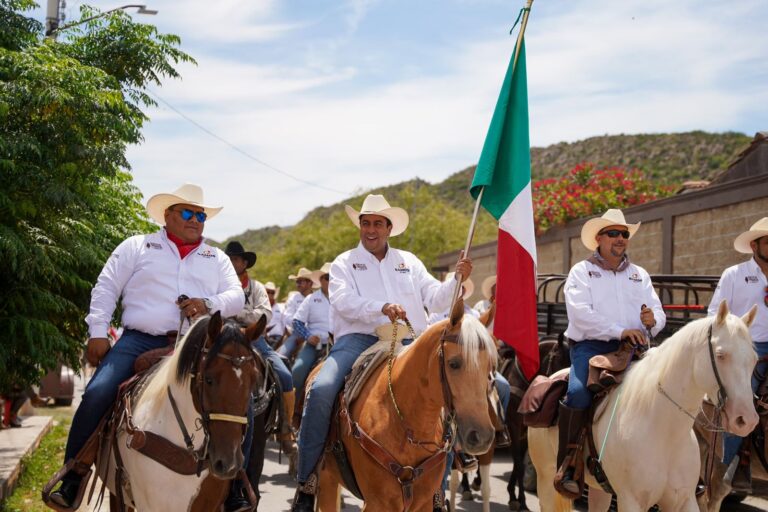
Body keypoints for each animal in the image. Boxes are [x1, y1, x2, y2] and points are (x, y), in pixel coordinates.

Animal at [314, 300, 498, 512]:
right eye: (454, 363)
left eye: (490, 368)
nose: (482, 437)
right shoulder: (376, 504)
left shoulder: (424, 503)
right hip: (326, 480)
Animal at [528, 300, 756, 512]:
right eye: (720, 355)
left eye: (754, 359)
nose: (746, 420)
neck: (665, 433)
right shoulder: (631, 501)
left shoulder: (684, 500)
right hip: (546, 477)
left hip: (599, 490)